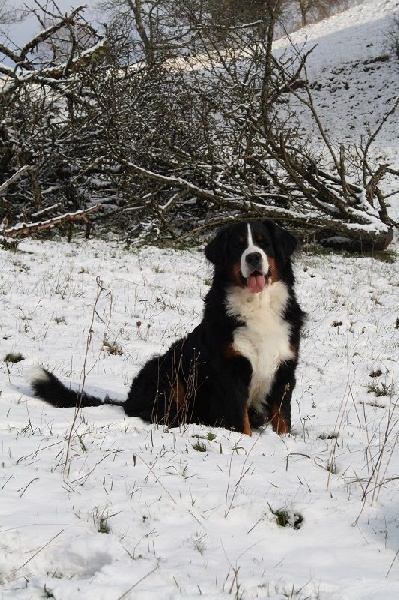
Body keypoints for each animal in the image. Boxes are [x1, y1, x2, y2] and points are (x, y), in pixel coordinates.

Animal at [30, 220, 306, 436]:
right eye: (238, 245)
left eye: (264, 243)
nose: (253, 257)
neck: (258, 305)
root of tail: (128, 400)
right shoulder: (231, 372)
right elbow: (240, 421)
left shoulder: (284, 370)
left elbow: (282, 419)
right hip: (166, 369)